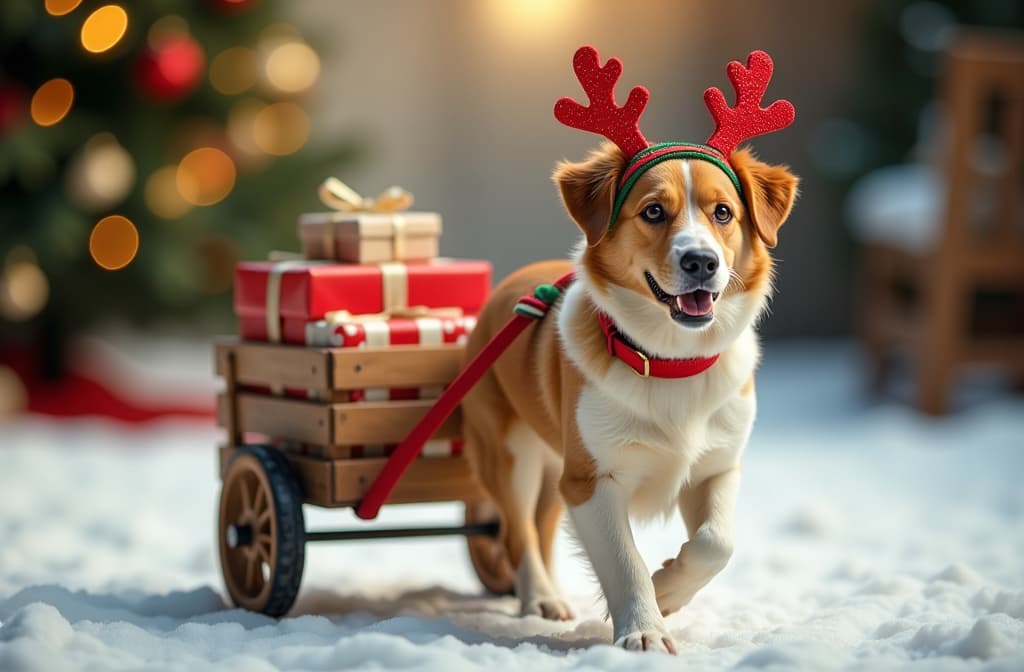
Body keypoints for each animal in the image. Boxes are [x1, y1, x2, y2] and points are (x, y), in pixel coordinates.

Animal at [462, 48, 798, 655]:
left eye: (723, 213)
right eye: (653, 212)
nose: (701, 262)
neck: (671, 363)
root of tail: (509, 284)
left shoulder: (716, 467)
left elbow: (717, 543)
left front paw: (669, 591)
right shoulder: (592, 481)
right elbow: (624, 563)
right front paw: (645, 627)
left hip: (553, 464)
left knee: (541, 527)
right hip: (510, 454)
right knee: (519, 532)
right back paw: (539, 599)